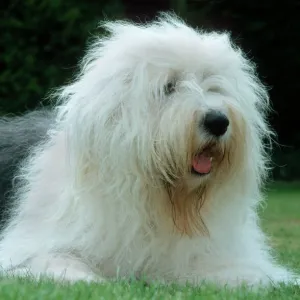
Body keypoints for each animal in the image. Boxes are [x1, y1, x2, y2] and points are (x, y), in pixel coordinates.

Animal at [0, 13, 298, 286]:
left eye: (213, 85)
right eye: (169, 86)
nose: (218, 122)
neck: (161, 202)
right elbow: (53, 258)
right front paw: (87, 279)